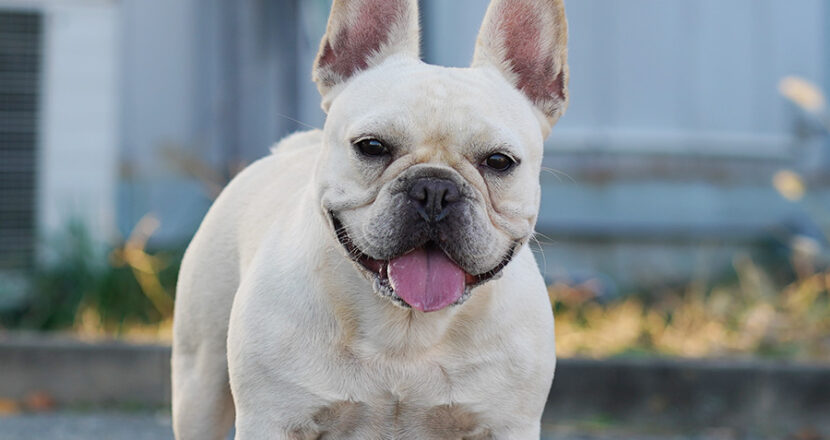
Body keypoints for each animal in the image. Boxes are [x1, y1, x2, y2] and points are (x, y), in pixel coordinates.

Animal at [172, 0, 568, 438]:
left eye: (499, 161)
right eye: (372, 146)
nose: (435, 189)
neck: (407, 332)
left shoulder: (507, 424)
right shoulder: (273, 419)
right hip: (200, 383)